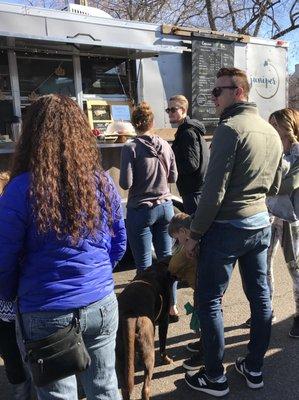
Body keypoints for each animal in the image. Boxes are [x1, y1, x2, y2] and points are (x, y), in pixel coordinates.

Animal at [116, 260, 175, 400]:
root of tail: (129, 313)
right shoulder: (164, 321)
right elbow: (163, 346)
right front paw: (166, 360)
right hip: (149, 351)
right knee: (145, 389)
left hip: (120, 355)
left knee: (125, 389)